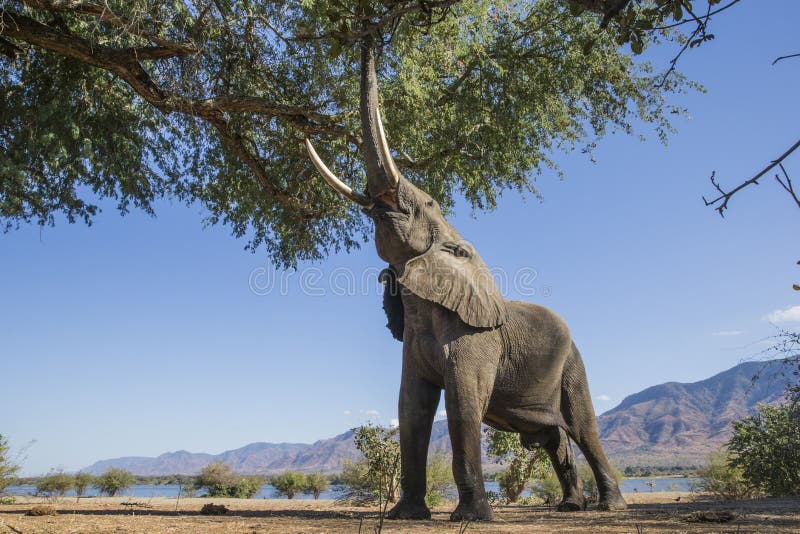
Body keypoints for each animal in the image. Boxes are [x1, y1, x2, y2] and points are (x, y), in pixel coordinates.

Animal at [302, 35, 627, 521]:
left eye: (431, 203)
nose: (369, 34)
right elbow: (411, 406)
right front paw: (406, 517)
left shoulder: (476, 338)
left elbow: (461, 403)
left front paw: (470, 518)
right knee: (554, 438)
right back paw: (570, 507)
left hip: (575, 365)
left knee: (584, 428)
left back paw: (610, 507)